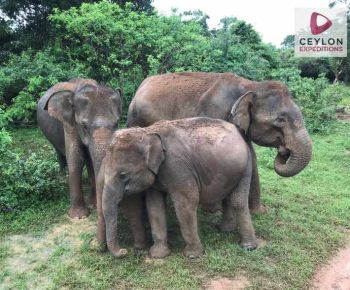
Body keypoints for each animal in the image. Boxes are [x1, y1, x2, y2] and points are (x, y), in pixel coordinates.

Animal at [37, 78, 122, 219]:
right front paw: (79, 216)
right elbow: (76, 158)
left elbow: (89, 158)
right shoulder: (70, 123)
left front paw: (93, 205)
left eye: (116, 123)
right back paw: (62, 176)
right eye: (84, 126)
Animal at [97, 118, 258, 258]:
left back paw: (248, 246)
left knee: (238, 202)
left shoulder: (179, 167)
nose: (125, 251)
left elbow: (185, 203)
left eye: (123, 175)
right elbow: (154, 205)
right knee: (229, 198)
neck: (148, 132)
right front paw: (158, 255)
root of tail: (238, 132)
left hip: (246, 165)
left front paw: (192, 255)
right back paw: (225, 230)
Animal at [127, 72, 314, 212]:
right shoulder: (213, 113)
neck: (250, 86)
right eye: (281, 120)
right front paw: (213, 210)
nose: (283, 151)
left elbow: (251, 156)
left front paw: (257, 212)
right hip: (136, 118)